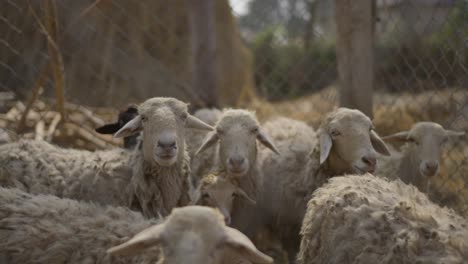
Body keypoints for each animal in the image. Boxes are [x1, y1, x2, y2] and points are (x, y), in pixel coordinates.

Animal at [258, 108, 390, 262]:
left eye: (370, 129)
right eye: (334, 132)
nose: (370, 160)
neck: (304, 176)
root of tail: (281, 119)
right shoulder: (290, 233)